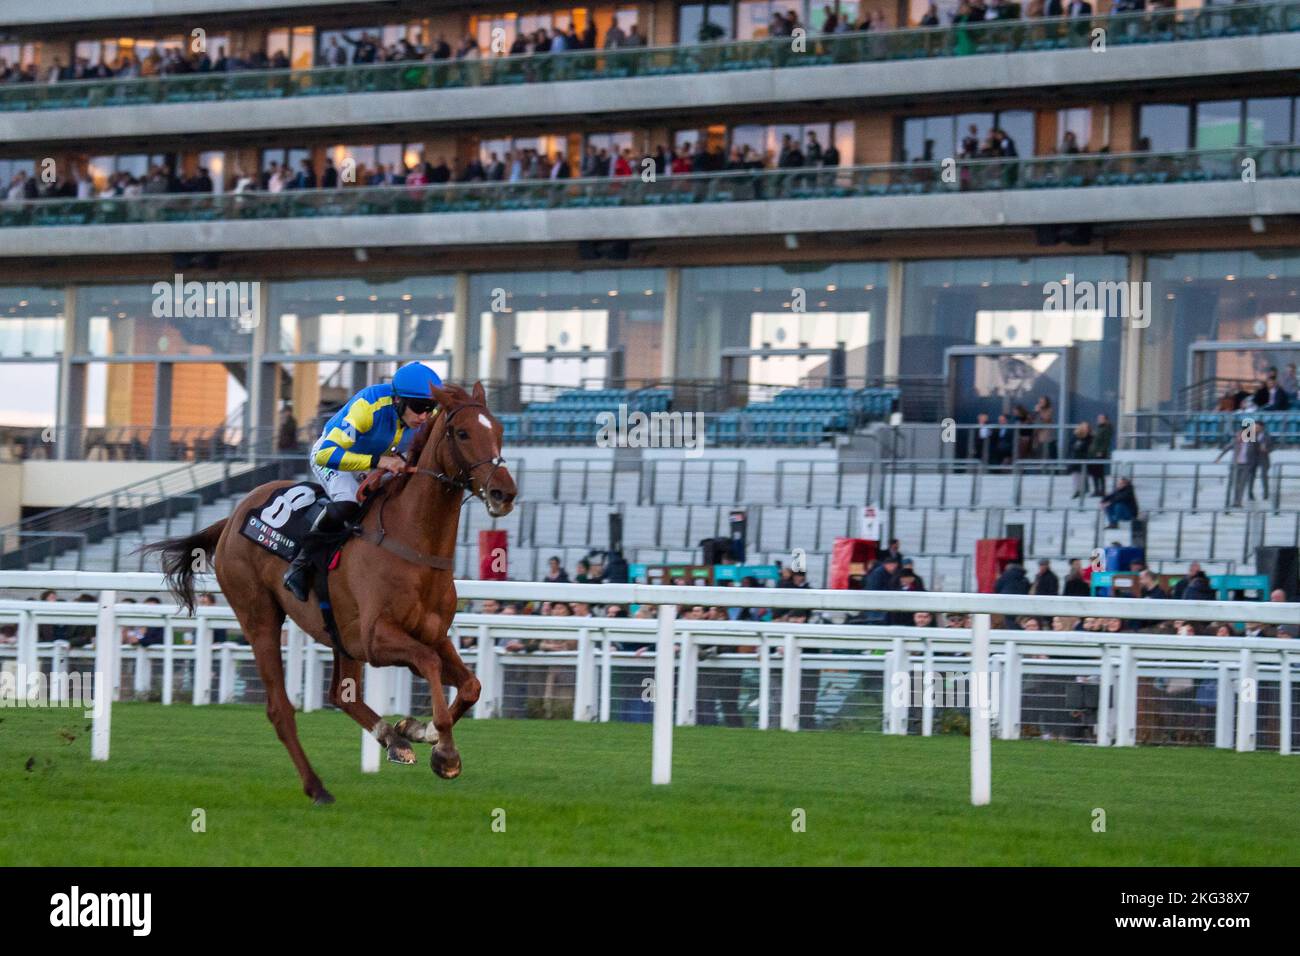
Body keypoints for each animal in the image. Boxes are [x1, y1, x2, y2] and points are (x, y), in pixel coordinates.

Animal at [137, 385, 512, 806]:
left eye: (499, 430)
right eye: (462, 433)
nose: (504, 492)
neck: (412, 545)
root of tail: (232, 518)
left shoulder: (431, 634)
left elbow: (471, 685)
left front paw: (417, 730)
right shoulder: (376, 639)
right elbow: (430, 665)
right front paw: (444, 753)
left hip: (339, 634)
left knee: (341, 694)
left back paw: (392, 739)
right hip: (260, 618)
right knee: (280, 708)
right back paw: (317, 787)